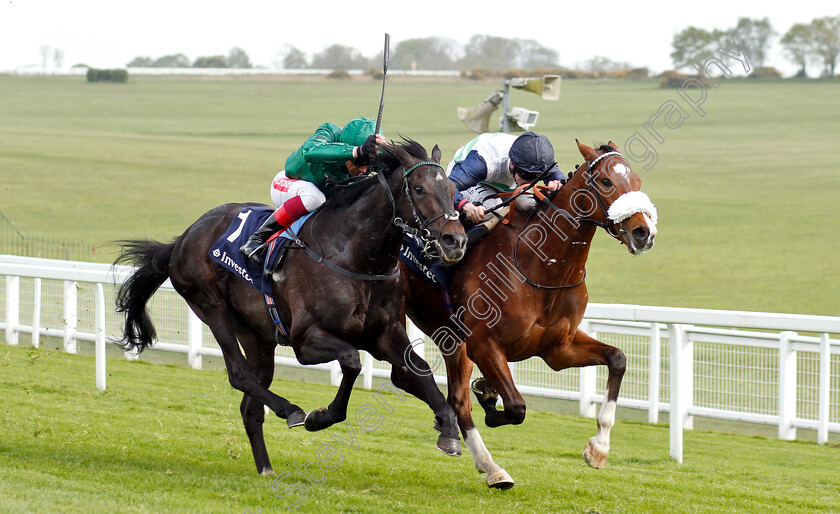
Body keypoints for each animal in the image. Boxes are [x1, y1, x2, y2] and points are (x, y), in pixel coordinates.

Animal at [113, 139, 466, 472]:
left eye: (452, 190)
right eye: (419, 189)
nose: (455, 241)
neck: (354, 255)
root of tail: (182, 239)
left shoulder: (384, 335)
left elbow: (419, 371)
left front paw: (448, 429)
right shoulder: (305, 340)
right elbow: (351, 361)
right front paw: (320, 417)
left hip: (257, 334)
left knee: (250, 404)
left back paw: (266, 468)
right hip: (211, 306)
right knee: (238, 374)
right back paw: (292, 410)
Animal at [400, 140, 656, 488]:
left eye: (638, 181)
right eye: (605, 181)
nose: (644, 232)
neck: (541, 264)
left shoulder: (558, 348)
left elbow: (618, 358)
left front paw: (599, 448)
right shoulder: (482, 343)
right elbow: (515, 407)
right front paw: (488, 395)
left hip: (452, 340)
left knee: (456, 397)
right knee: (457, 400)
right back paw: (491, 467)